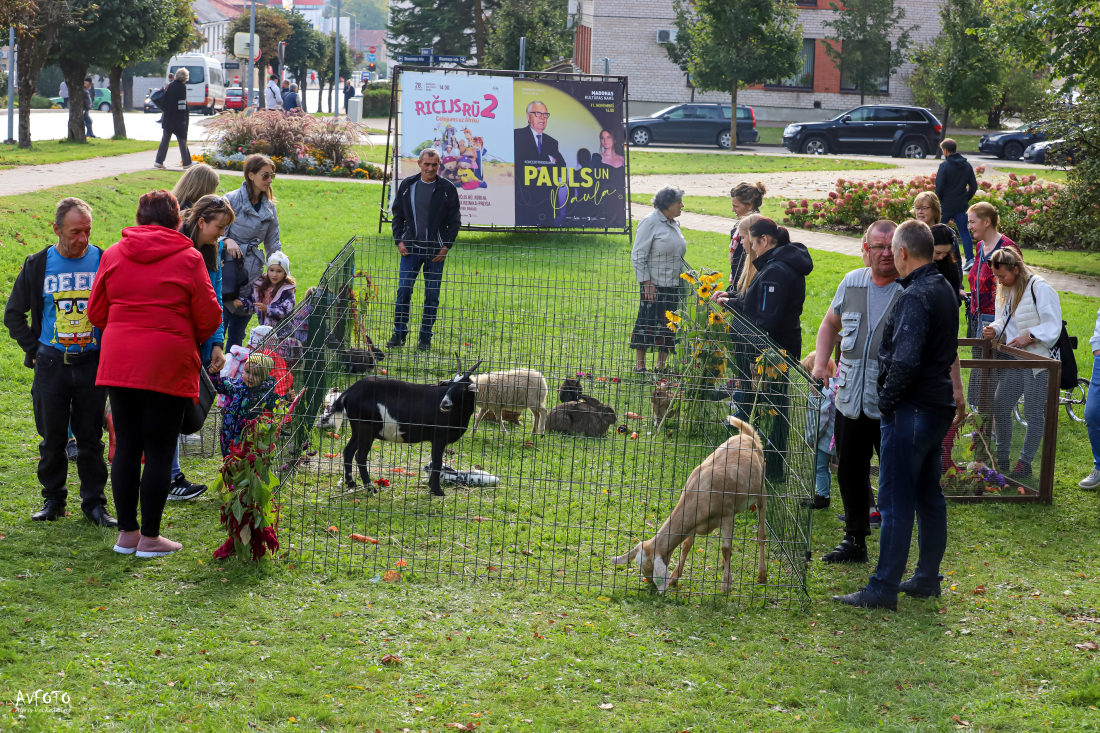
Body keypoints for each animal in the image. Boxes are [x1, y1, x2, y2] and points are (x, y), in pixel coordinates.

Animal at [323, 356, 483, 496]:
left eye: (463, 388)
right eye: (450, 385)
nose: (444, 404)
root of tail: (349, 391)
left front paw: (432, 487)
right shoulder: (439, 437)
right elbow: (437, 463)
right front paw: (437, 491)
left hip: (358, 429)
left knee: (348, 451)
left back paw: (351, 483)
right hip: (366, 427)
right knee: (360, 456)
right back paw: (370, 488)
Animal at [611, 417, 768, 592]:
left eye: (649, 566)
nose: (649, 581)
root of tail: (748, 435)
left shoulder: (727, 515)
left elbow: (726, 549)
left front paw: (726, 585)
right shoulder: (694, 522)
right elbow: (686, 545)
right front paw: (674, 578)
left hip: (762, 492)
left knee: (761, 534)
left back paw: (762, 575)